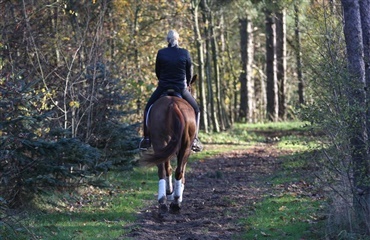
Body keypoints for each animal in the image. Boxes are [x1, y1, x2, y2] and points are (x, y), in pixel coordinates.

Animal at [141, 75, 198, 214]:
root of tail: (173, 105)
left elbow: (170, 168)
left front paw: (172, 193)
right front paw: (174, 193)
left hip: (161, 143)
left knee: (164, 169)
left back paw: (164, 201)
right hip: (183, 145)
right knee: (176, 170)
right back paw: (174, 201)